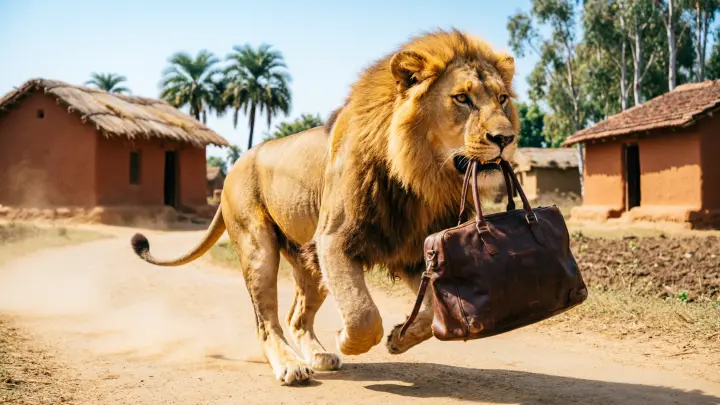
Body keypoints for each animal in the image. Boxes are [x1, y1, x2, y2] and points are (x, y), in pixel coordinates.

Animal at [130, 28, 520, 385]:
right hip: (259, 248)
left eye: (502, 99)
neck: (420, 178)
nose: (506, 138)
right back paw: (291, 366)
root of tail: (236, 164)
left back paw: (318, 356)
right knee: (267, 320)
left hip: (310, 261)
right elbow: (362, 314)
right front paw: (347, 339)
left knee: (296, 316)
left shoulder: (411, 250)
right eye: (462, 98)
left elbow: (427, 312)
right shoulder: (334, 239)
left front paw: (398, 337)